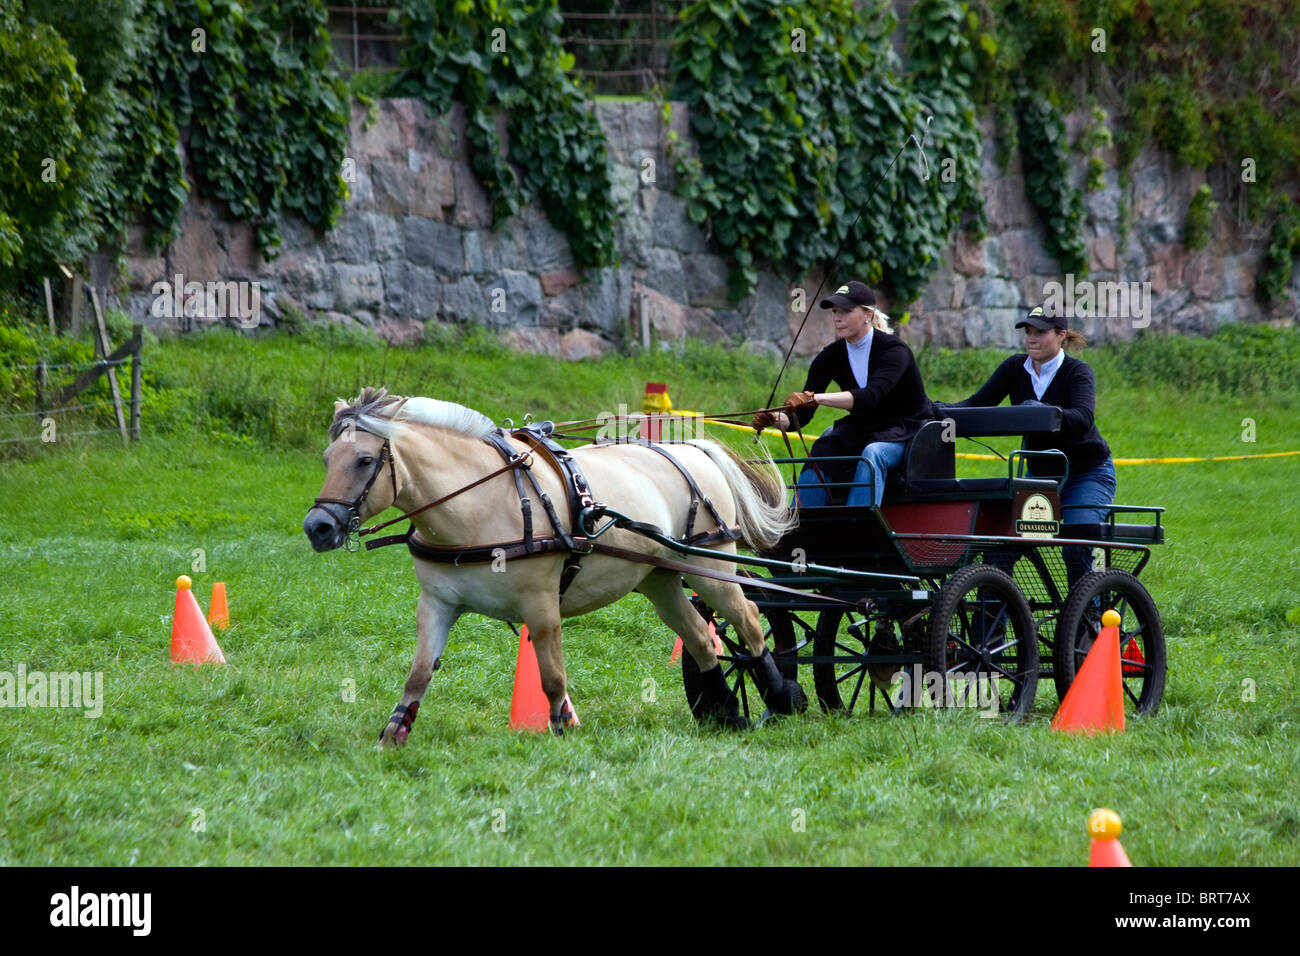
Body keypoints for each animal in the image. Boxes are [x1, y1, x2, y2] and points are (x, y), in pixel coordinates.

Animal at [303, 388, 804, 745]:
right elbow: (421, 671)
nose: (318, 527)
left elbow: (551, 674)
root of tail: (693, 450)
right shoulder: (437, 603)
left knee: (749, 621)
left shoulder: (542, 607)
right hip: (658, 578)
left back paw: (782, 696)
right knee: (700, 636)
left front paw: (565, 727)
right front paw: (394, 733)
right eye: (326, 459)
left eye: (365, 459)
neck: (480, 502)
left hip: (706, 564)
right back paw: (725, 712)